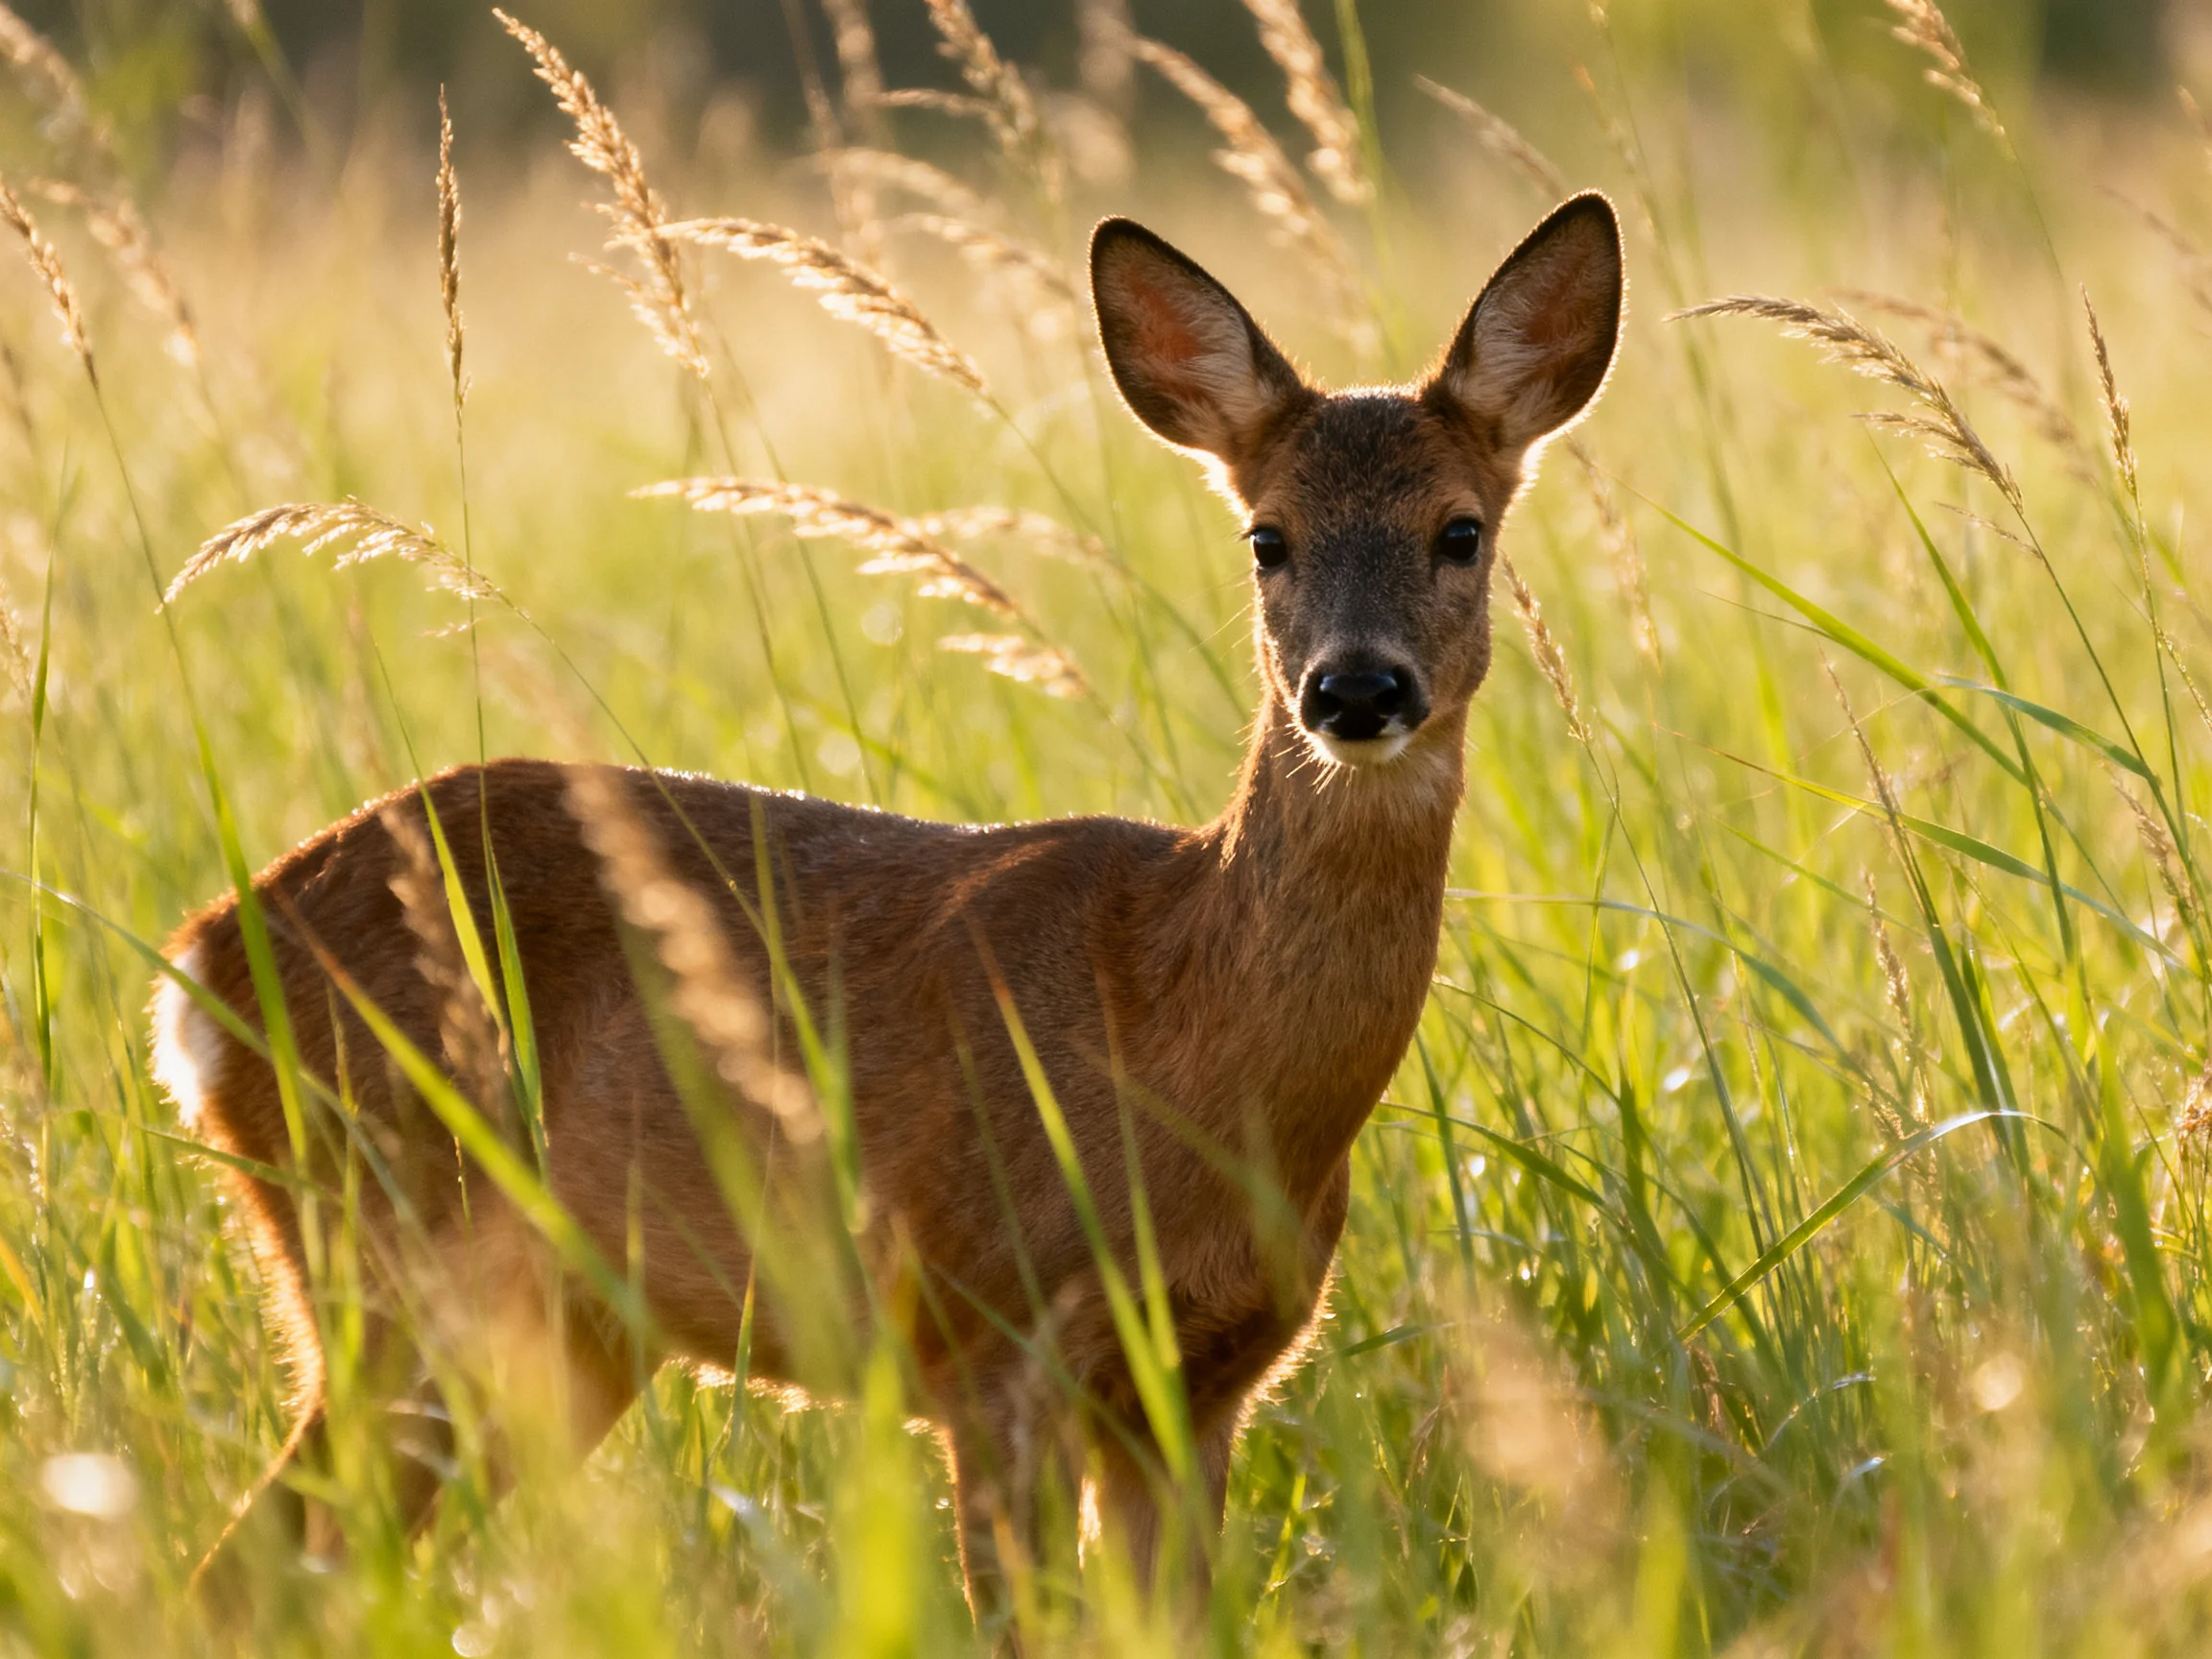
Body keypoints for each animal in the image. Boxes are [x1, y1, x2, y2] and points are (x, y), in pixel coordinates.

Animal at [151, 193, 1623, 1632]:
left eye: (1461, 530)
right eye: (1268, 538)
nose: (1356, 690)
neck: (1182, 1043)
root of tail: (198, 962)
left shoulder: (1204, 1382)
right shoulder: (988, 1335)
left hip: (556, 1326)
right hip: (389, 1246)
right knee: (242, 1570)